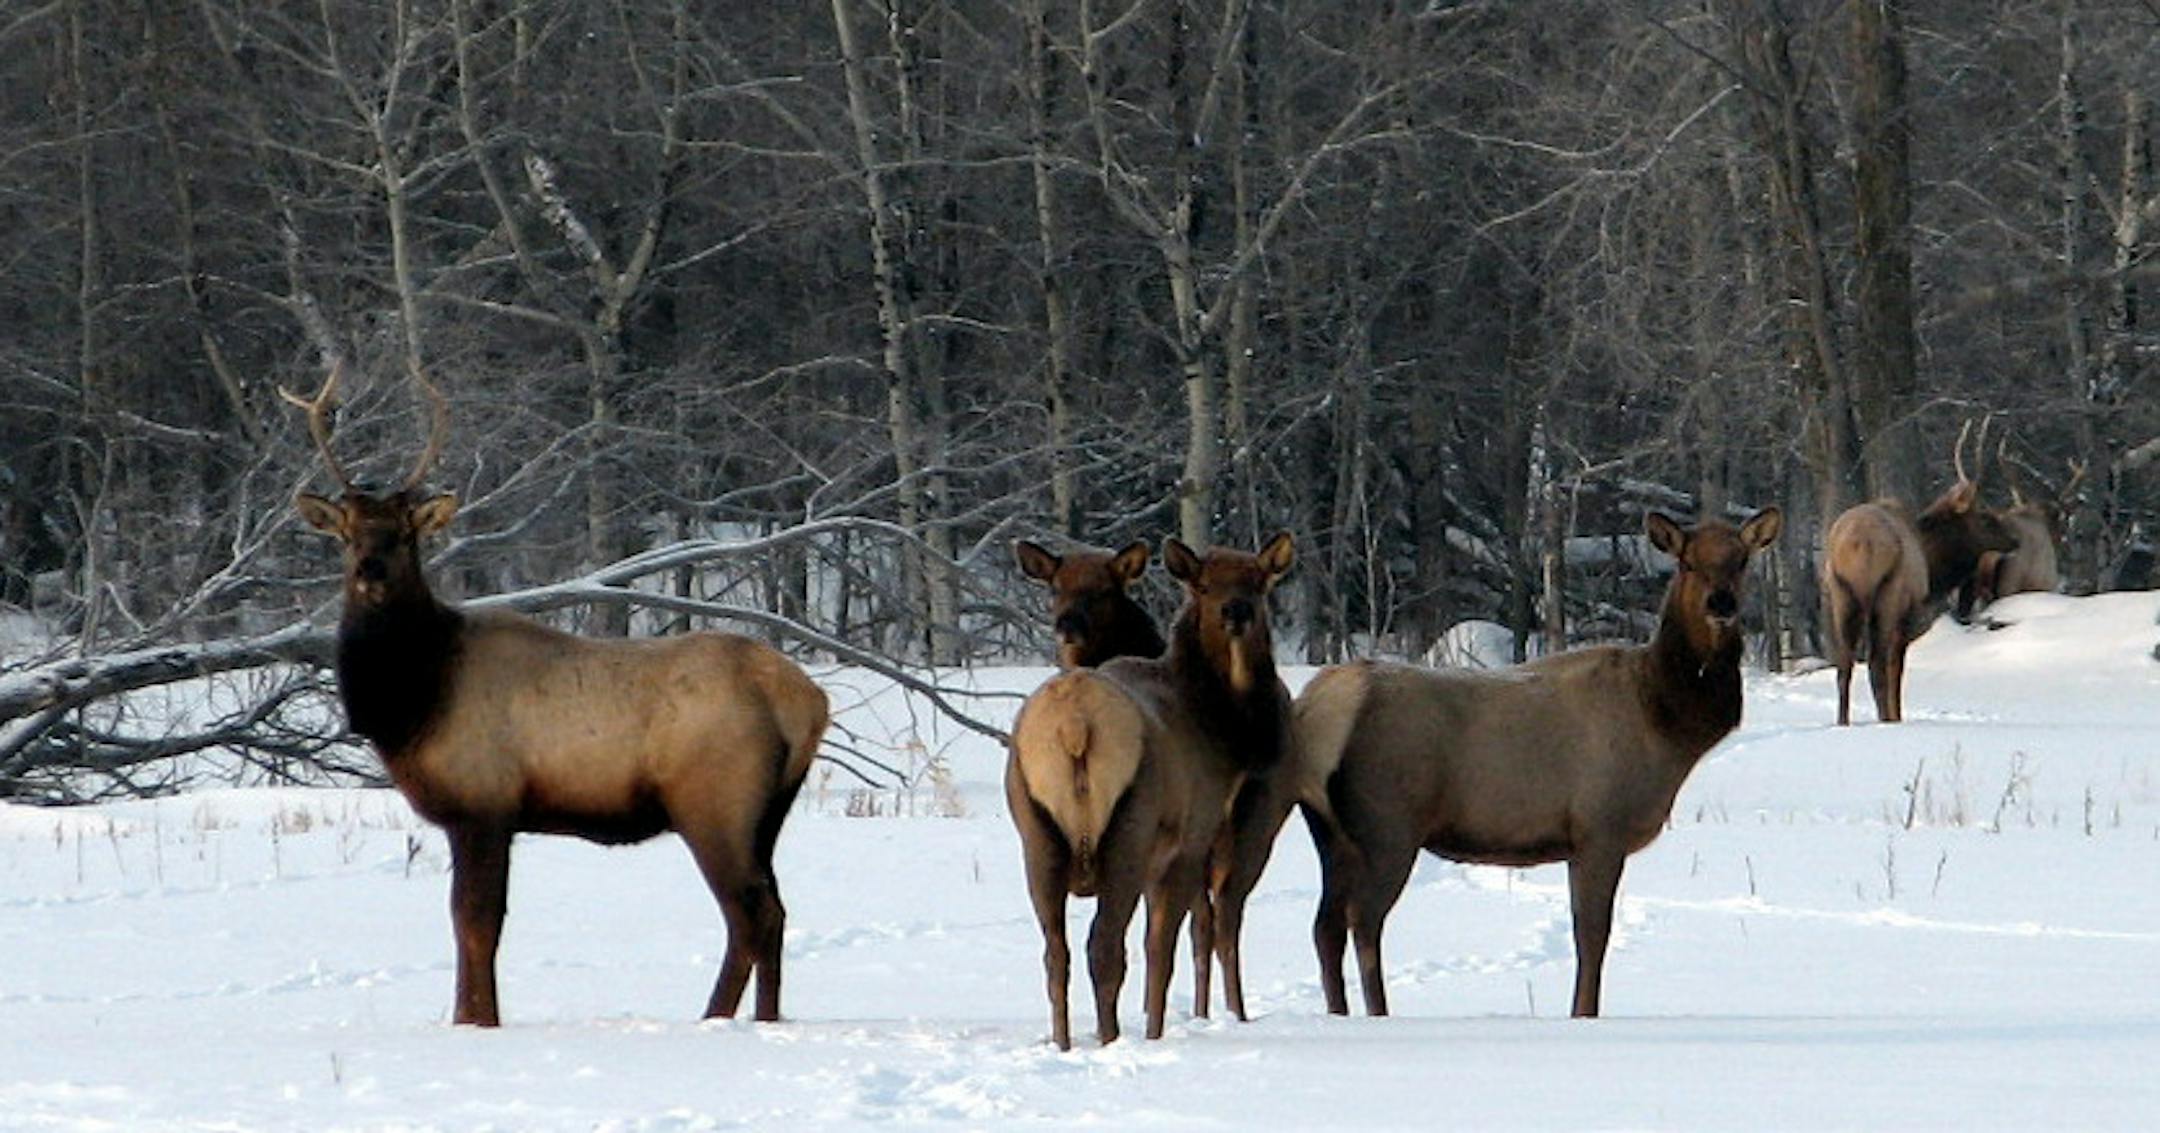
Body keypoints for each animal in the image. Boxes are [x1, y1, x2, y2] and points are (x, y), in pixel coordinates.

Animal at [285, 364, 828, 1026]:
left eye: (406, 535)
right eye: (346, 534)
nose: (371, 570)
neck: (414, 700)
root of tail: (807, 701)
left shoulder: (484, 802)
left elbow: (476, 924)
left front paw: (477, 1021)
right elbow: (471, 924)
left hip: (715, 802)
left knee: (751, 914)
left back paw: (719, 1020)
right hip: (767, 814)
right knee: (772, 911)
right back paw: (759, 1018)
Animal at [1013, 534, 1329, 1026]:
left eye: (1258, 583)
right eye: (1203, 585)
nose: (1236, 610)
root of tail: (1076, 725)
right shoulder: (1188, 840)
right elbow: (1166, 946)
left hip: (1038, 836)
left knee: (1058, 955)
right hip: (1152, 829)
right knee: (1160, 937)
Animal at [1295, 508, 1782, 1019]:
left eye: (1742, 560)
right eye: (1688, 562)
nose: (1721, 601)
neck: (1665, 722)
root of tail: (1316, 707)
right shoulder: (1600, 827)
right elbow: (1592, 937)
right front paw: (1583, 1013)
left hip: (1330, 833)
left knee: (1325, 927)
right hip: (1389, 824)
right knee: (1363, 921)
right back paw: (1380, 1014)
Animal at [1823, 420, 2019, 725]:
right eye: (1986, 516)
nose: (2014, 540)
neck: (1933, 565)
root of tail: (1856, 543)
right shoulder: (1909, 611)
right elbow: (1896, 667)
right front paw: (1896, 715)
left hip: (1841, 594)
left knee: (1844, 664)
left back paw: (1843, 722)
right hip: (1887, 593)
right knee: (1876, 662)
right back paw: (1884, 719)